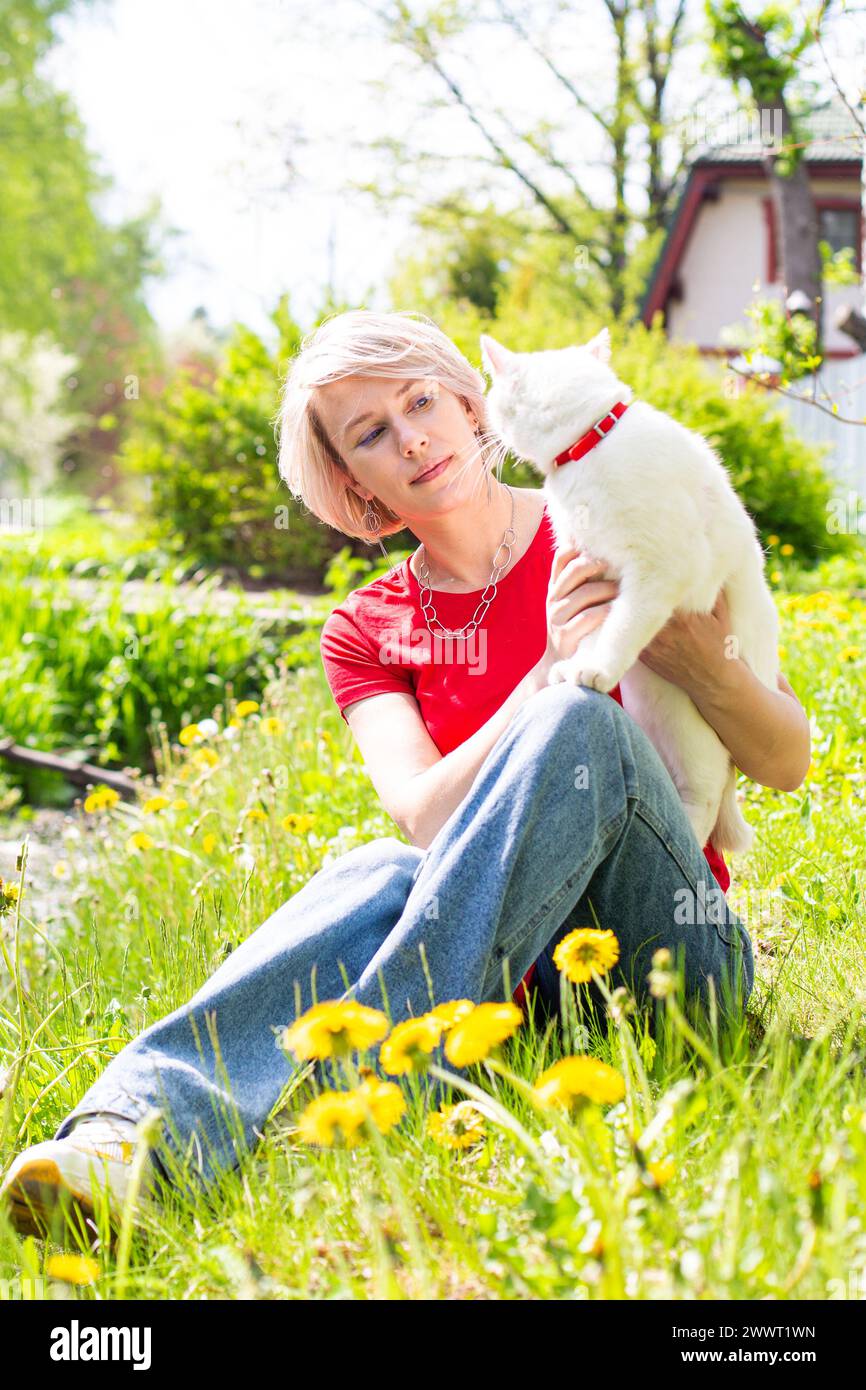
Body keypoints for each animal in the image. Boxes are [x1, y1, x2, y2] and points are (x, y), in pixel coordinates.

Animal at [478, 328, 783, 856]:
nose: (484, 425)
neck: (591, 444)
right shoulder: (588, 570)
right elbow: (590, 629)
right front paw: (577, 666)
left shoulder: (659, 568)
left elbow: (622, 626)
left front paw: (595, 668)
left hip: (692, 730)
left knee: (701, 799)